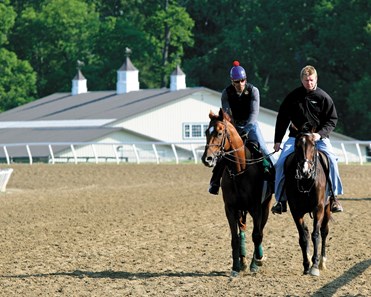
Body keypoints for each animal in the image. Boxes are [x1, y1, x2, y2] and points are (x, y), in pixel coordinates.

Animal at [201, 108, 274, 276]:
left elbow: (257, 235)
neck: (240, 171)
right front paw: (236, 266)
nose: (207, 159)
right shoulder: (230, 208)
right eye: (206, 132)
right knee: (243, 231)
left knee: (260, 231)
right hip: (242, 210)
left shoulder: (256, 207)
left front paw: (256, 263)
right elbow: (235, 237)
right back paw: (243, 261)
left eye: (220, 133)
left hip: (265, 206)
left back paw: (256, 259)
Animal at [284, 124, 334, 276]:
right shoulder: (296, 211)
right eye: (296, 145)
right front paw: (307, 265)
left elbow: (315, 235)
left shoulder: (318, 208)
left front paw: (315, 265)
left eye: (313, 144)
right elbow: (303, 237)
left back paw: (322, 262)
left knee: (324, 231)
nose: (305, 171)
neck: (306, 181)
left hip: (327, 209)